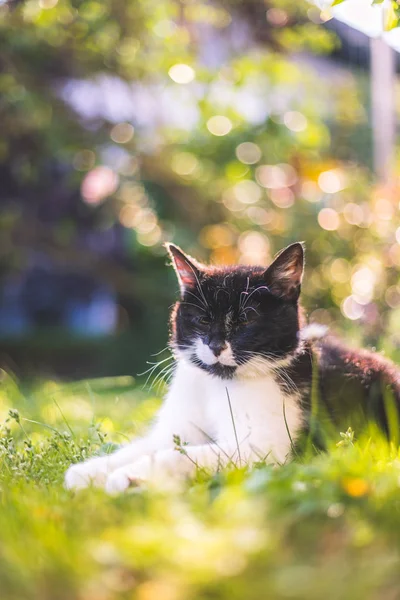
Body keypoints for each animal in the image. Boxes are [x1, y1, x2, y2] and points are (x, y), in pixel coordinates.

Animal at [64, 241, 398, 494]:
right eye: (203, 320)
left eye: (245, 321)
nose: (215, 345)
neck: (218, 384)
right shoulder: (177, 428)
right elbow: (146, 446)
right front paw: (89, 472)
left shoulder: (261, 449)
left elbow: (176, 455)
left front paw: (130, 476)